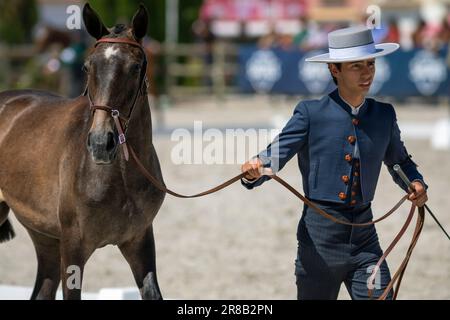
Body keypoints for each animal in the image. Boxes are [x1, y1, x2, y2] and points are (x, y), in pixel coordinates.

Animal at [0, 3, 165, 300]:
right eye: (88, 67)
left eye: (135, 67)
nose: (101, 143)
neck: (120, 176)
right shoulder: (73, 246)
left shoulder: (140, 241)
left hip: (44, 237)